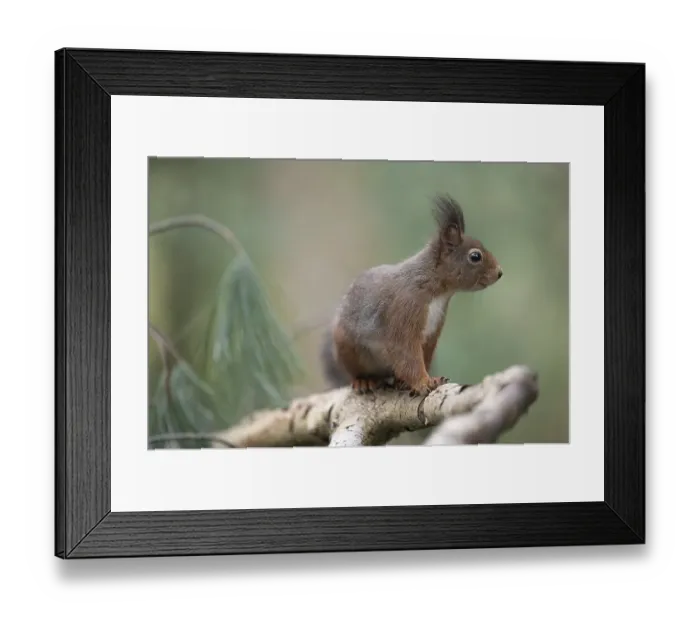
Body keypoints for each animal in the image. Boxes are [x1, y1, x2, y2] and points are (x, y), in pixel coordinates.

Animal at [320, 194, 503, 397]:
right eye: (475, 256)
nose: (499, 272)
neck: (436, 290)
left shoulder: (432, 330)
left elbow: (424, 355)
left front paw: (428, 380)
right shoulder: (404, 310)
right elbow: (406, 353)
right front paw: (423, 382)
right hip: (348, 349)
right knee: (357, 372)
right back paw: (364, 380)